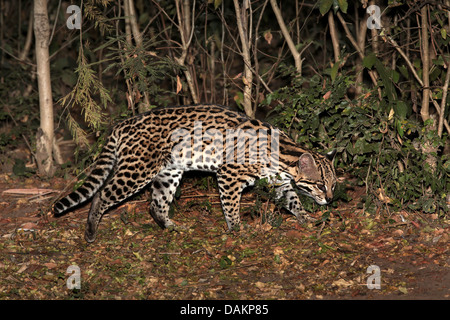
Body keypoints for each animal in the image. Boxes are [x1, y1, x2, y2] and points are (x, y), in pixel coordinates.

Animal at [52, 105, 336, 242]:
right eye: (321, 184)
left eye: (333, 184)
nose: (331, 199)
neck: (284, 157)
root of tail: (123, 124)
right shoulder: (228, 174)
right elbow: (231, 206)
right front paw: (237, 229)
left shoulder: (279, 183)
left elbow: (293, 200)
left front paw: (306, 218)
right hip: (137, 169)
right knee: (101, 195)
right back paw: (90, 232)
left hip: (168, 172)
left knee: (156, 205)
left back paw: (172, 227)